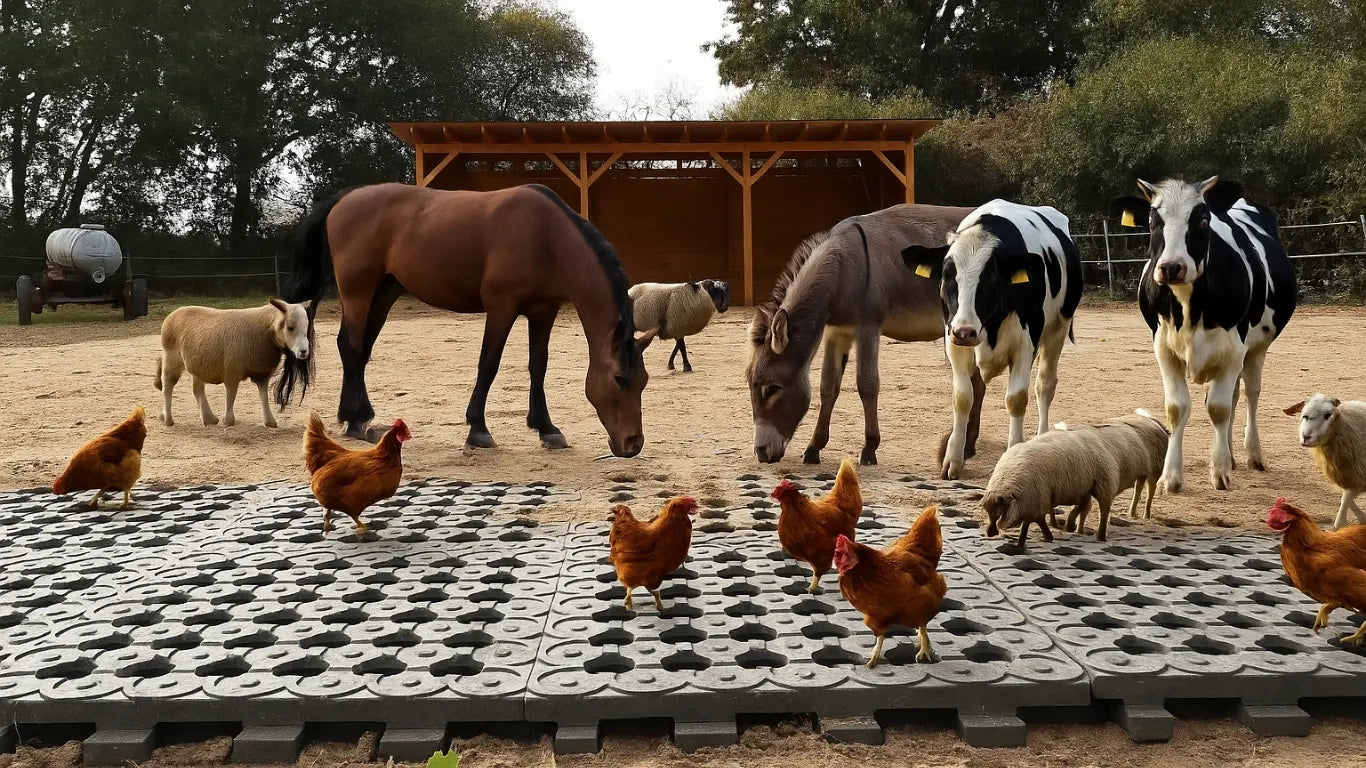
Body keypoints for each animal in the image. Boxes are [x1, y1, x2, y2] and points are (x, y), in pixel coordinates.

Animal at [281, 183, 654, 458]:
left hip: (384, 293)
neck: (547, 237)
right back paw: (356, 420)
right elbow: (488, 363)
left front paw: (547, 429)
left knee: (361, 351)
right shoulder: (502, 307)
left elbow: (538, 365)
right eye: (620, 379)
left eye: (644, 381)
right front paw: (478, 429)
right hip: (358, 293)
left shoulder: (542, 310)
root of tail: (345, 199)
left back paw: (358, 418)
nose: (633, 443)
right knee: (351, 347)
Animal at [747, 204, 986, 467]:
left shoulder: (868, 328)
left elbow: (867, 384)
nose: (761, 453)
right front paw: (814, 447)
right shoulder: (837, 331)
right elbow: (828, 386)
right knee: (978, 383)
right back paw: (969, 445)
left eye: (772, 389)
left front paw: (869, 448)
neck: (843, 268)